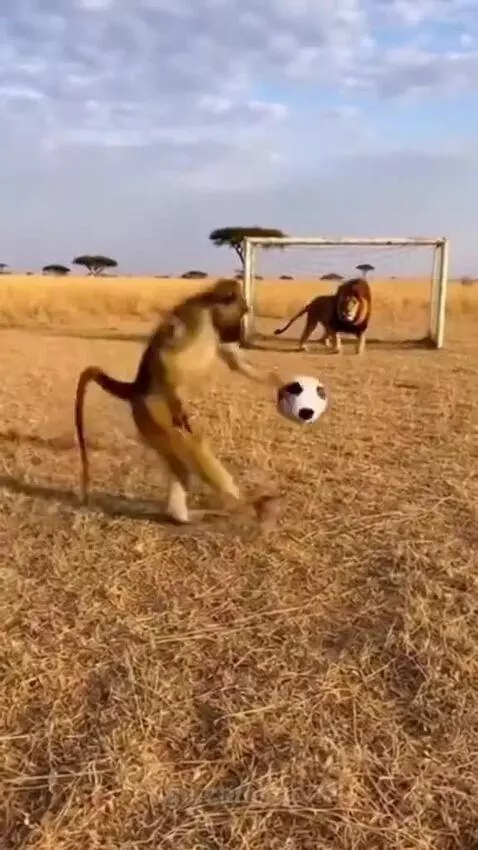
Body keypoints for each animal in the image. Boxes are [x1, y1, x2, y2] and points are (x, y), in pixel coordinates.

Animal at [74, 278, 285, 526]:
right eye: (241, 310)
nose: (236, 333)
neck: (210, 310)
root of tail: (137, 387)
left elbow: (237, 364)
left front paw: (282, 383)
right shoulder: (196, 319)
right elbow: (166, 355)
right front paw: (179, 402)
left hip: (150, 423)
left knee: (181, 466)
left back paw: (181, 516)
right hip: (154, 411)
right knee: (193, 445)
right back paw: (240, 504)